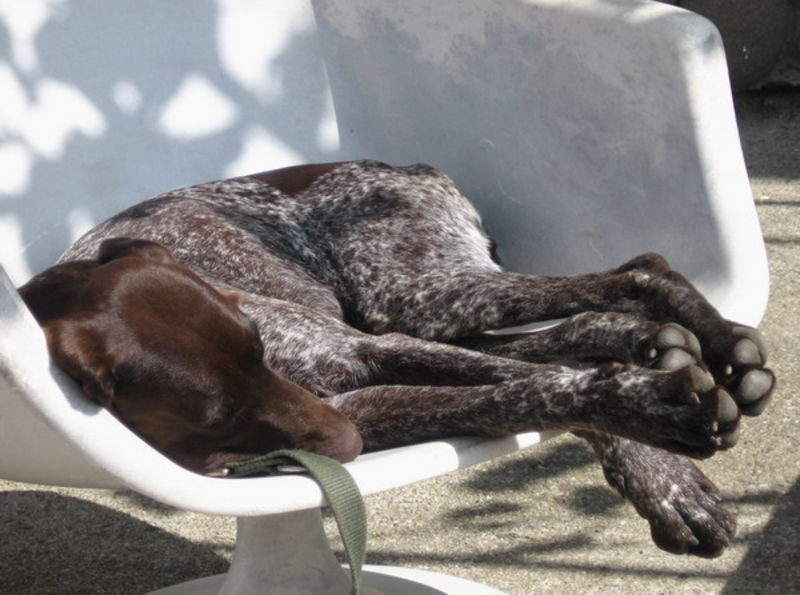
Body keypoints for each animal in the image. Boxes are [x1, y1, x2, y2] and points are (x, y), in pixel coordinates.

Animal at [18, 160, 774, 558]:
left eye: (258, 349)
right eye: (214, 414)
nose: (341, 441)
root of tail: (412, 168)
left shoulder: (361, 354)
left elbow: (544, 386)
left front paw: (663, 465)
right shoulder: (352, 405)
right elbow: (531, 391)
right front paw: (657, 430)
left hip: (417, 296)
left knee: (638, 269)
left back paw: (718, 344)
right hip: (421, 308)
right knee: (586, 321)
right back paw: (661, 346)